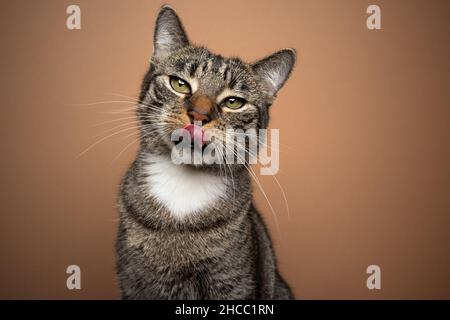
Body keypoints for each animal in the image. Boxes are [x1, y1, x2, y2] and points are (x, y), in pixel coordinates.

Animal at [117, 5, 296, 300]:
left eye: (234, 102)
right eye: (179, 84)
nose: (199, 115)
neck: (183, 189)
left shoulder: (234, 285)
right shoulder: (134, 283)